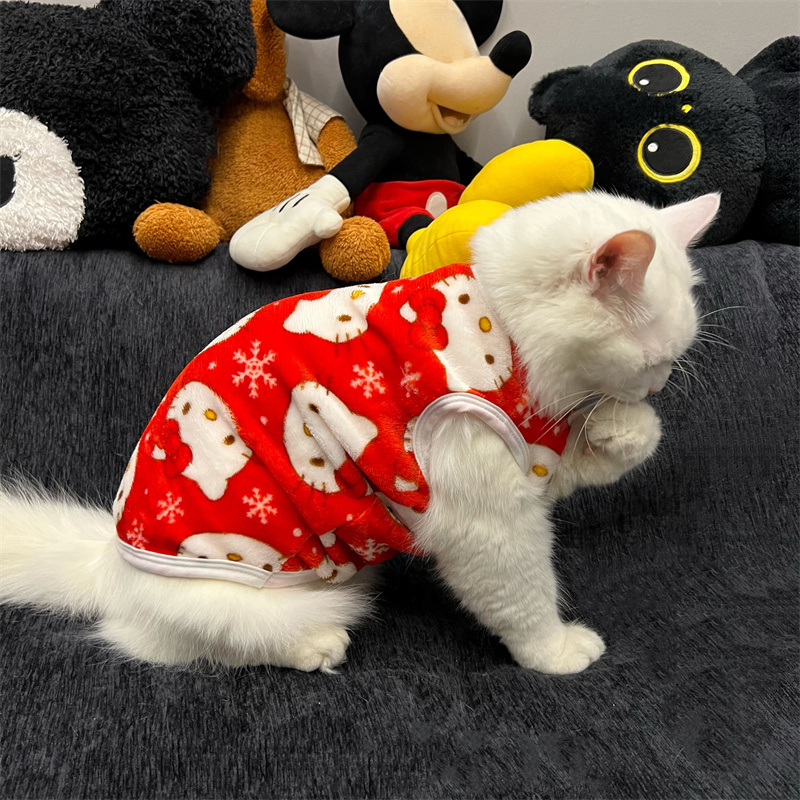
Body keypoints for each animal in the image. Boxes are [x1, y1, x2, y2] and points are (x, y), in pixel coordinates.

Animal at [0, 190, 719, 675]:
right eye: (652, 362)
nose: (657, 386)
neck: (498, 324)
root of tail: (109, 558)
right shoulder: (486, 517)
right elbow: (522, 593)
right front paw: (554, 652)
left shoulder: (532, 459)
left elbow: (608, 446)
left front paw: (625, 427)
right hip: (270, 594)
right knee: (194, 645)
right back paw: (314, 647)